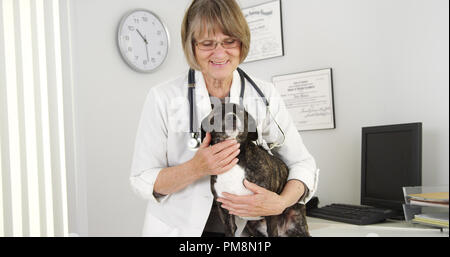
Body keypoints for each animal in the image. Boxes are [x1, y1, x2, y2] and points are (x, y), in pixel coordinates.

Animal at [201, 102, 310, 236]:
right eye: (217, 112)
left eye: (240, 112)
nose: (231, 117)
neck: (235, 159)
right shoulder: (225, 213)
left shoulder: (269, 208)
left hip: (298, 224)